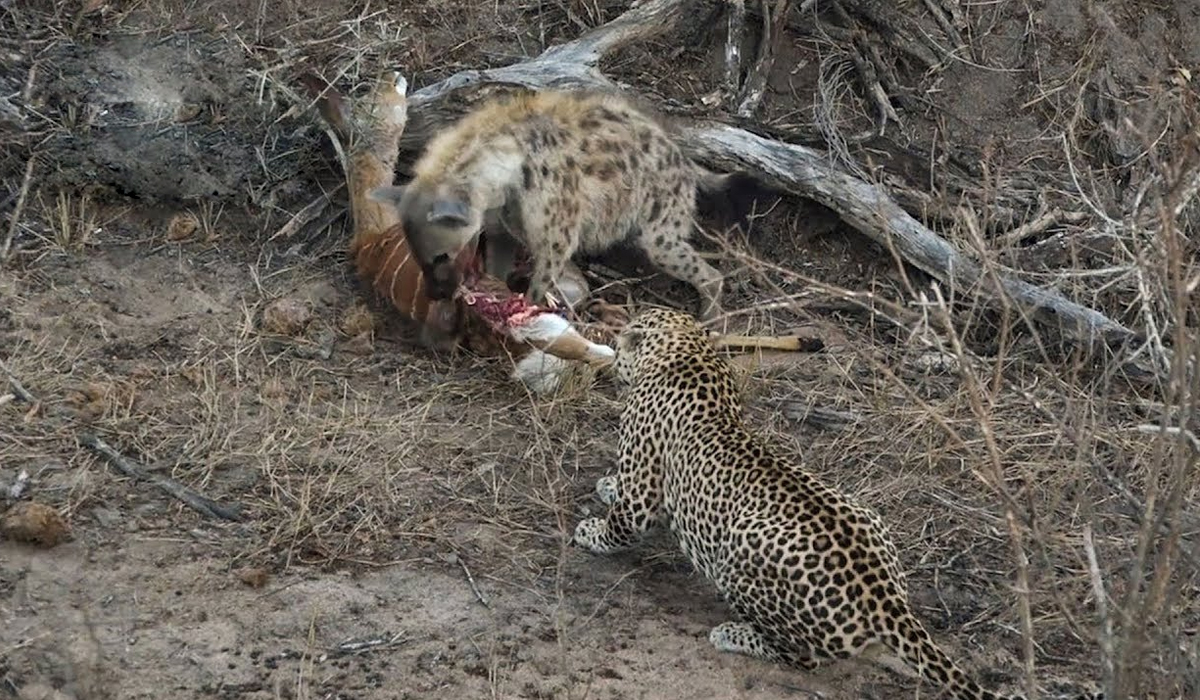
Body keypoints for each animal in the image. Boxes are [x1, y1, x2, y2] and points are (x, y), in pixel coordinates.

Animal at [571, 309, 1104, 700]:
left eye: (622, 340)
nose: (610, 354)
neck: (689, 352)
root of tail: (886, 600)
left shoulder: (644, 482)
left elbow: (625, 519)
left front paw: (591, 531)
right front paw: (606, 485)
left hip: (741, 553)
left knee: (802, 655)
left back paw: (734, 635)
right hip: (870, 517)